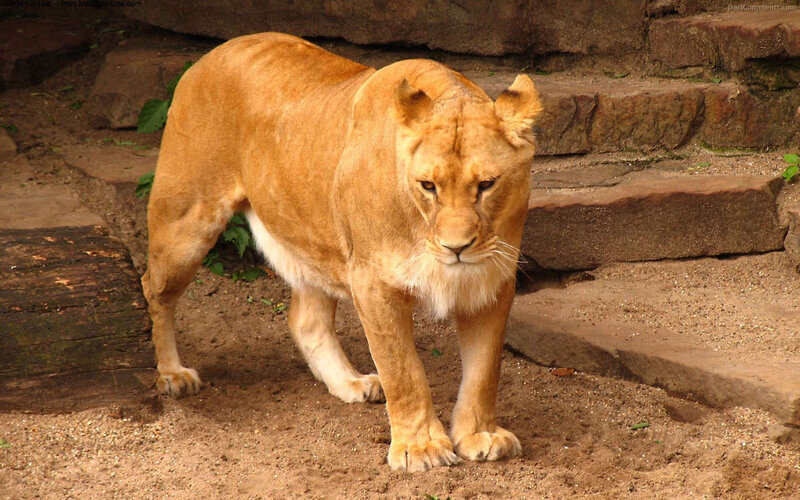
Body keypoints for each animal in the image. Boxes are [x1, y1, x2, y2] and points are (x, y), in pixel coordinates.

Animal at [141, 32, 542, 472]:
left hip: (312, 237)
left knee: (305, 319)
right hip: (184, 226)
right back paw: (173, 375)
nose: (456, 248)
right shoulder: (373, 283)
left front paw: (479, 435)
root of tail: (214, 53)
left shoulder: (493, 279)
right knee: (153, 289)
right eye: (428, 186)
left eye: (487, 184)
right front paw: (420, 447)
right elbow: (403, 370)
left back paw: (350, 382)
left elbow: (485, 370)